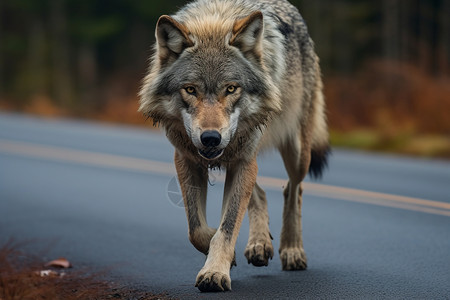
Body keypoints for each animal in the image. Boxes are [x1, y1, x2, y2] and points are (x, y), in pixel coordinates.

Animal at [139, 0, 328, 292]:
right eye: (190, 90)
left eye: (230, 89)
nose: (211, 138)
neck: (214, 22)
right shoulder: (187, 159)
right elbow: (197, 230)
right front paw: (224, 257)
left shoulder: (242, 161)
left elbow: (227, 226)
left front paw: (215, 272)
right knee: (261, 193)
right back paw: (260, 245)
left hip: (295, 153)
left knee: (293, 190)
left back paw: (292, 250)